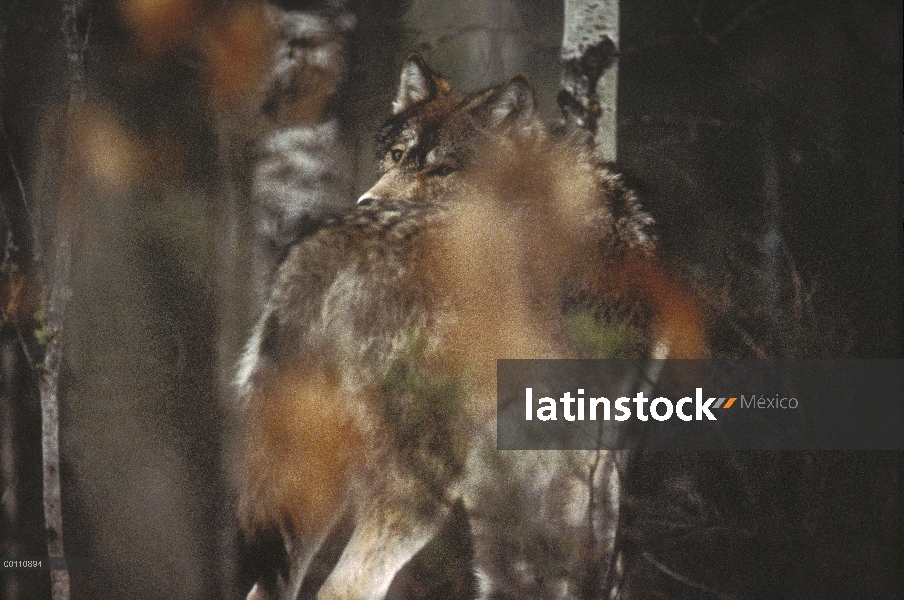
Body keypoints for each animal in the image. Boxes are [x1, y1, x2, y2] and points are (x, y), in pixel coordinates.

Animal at [235, 55, 708, 600]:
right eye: (397, 156)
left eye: (442, 168)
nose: (366, 201)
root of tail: (328, 245)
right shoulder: (589, 470)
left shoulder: (510, 490)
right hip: (423, 484)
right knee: (346, 586)